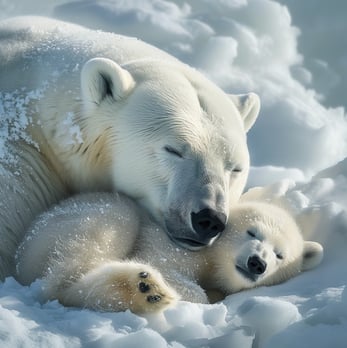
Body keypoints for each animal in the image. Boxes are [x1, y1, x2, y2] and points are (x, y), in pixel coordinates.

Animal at [16, 193, 324, 316]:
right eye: (253, 232)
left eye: (280, 255)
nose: (257, 262)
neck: (210, 256)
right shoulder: (168, 245)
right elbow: (164, 264)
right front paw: (201, 294)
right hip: (69, 226)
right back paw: (141, 287)